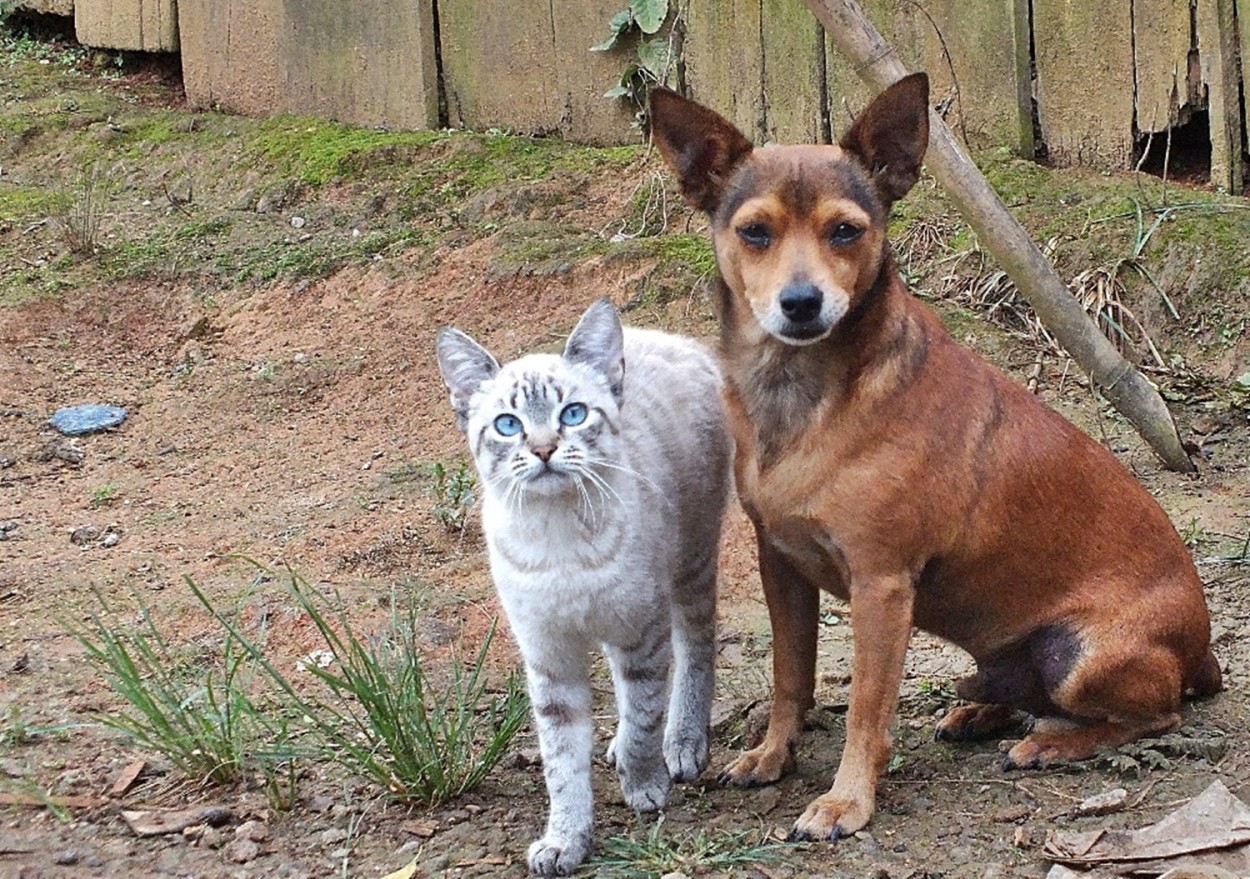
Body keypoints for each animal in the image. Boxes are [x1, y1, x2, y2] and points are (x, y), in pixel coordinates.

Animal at [440, 298, 730, 875]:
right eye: (507, 425)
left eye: (572, 415)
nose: (544, 449)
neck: (559, 542)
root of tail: (674, 339)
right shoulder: (549, 657)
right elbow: (562, 763)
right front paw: (566, 841)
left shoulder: (641, 631)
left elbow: (643, 714)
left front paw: (644, 788)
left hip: (690, 565)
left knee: (696, 649)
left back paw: (683, 742)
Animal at [650, 72, 1215, 840]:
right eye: (755, 232)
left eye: (846, 230)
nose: (801, 302)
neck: (803, 396)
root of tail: (1204, 650)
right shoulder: (781, 566)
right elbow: (791, 677)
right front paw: (772, 753)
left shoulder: (881, 586)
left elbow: (865, 709)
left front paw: (845, 801)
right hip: (1001, 641)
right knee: (1033, 692)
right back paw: (983, 712)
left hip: (1080, 654)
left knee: (1157, 714)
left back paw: (1054, 743)